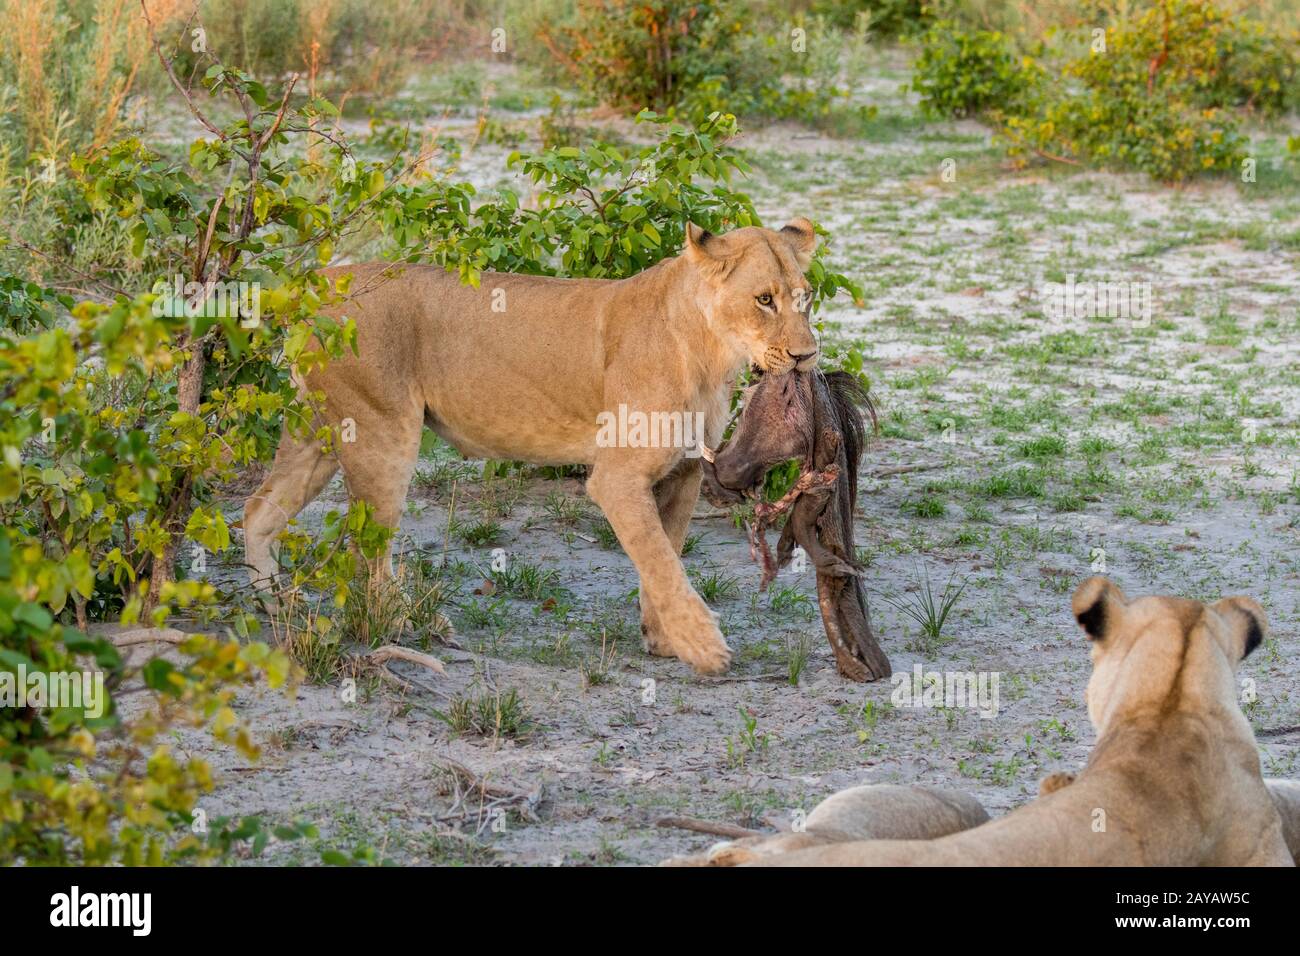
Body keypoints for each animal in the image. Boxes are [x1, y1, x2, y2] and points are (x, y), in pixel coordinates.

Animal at [241, 221, 821, 676]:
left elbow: (666, 553)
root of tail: (320, 283)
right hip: (382, 434)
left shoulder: (684, 473)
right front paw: (703, 646)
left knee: (258, 508)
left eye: (804, 297)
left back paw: (273, 602)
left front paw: (661, 638)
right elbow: (661, 561)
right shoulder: (618, 478)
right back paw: (401, 622)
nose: (806, 355)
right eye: (764, 299)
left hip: (318, 434)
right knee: (368, 551)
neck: (711, 353)